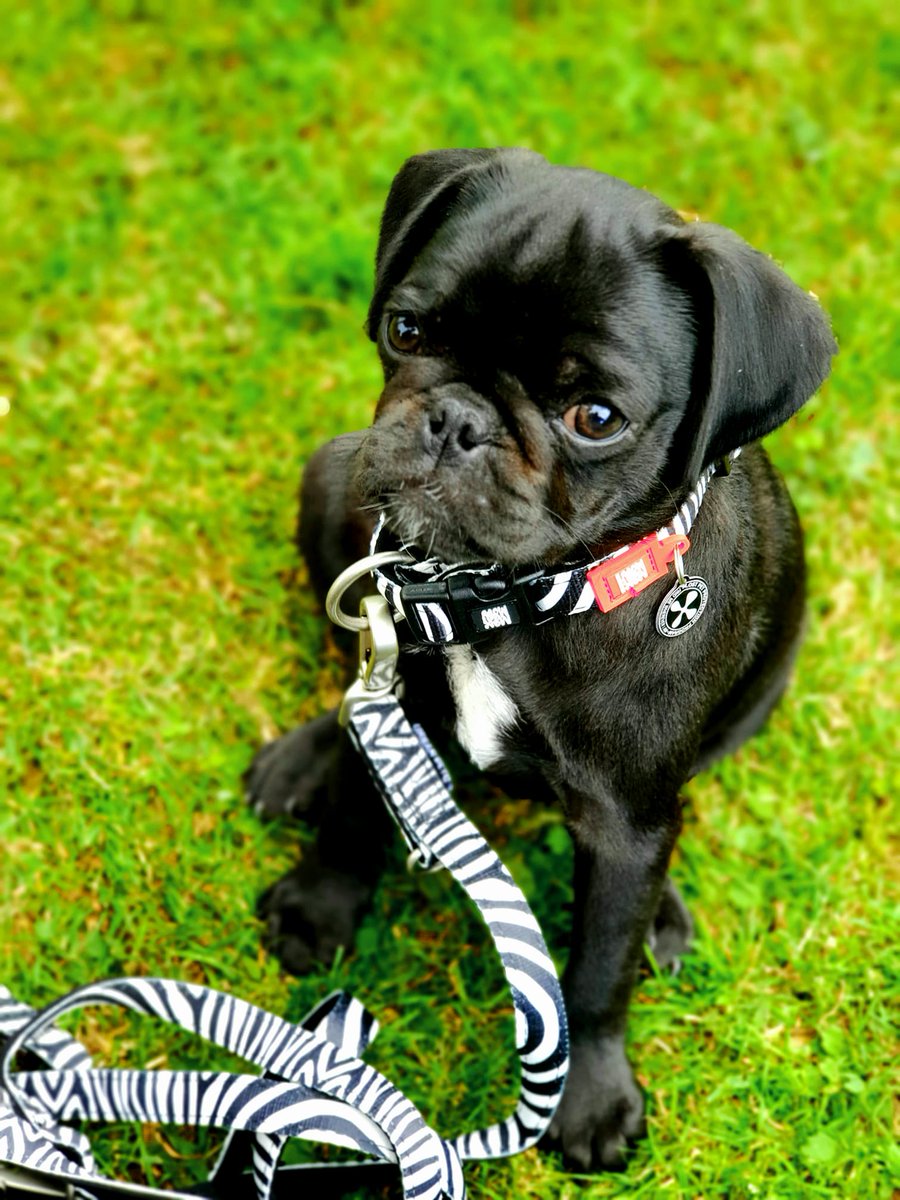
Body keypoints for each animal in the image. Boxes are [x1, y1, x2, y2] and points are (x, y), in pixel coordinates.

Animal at [248, 150, 840, 1171]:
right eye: (406, 329)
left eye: (595, 417)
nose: (455, 421)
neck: (508, 598)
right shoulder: (399, 693)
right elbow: (363, 802)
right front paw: (322, 905)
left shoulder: (627, 822)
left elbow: (600, 967)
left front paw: (590, 1094)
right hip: (331, 480)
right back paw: (305, 759)